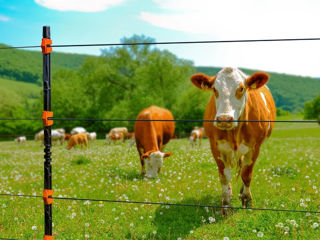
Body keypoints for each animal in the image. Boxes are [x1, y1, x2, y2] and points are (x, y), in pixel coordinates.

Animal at [191, 66, 276, 215]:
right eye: (214, 89)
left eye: (241, 88)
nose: (224, 119)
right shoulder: (216, 147)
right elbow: (224, 177)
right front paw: (225, 205)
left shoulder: (255, 147)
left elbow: (246, 175)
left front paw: (247, 200)